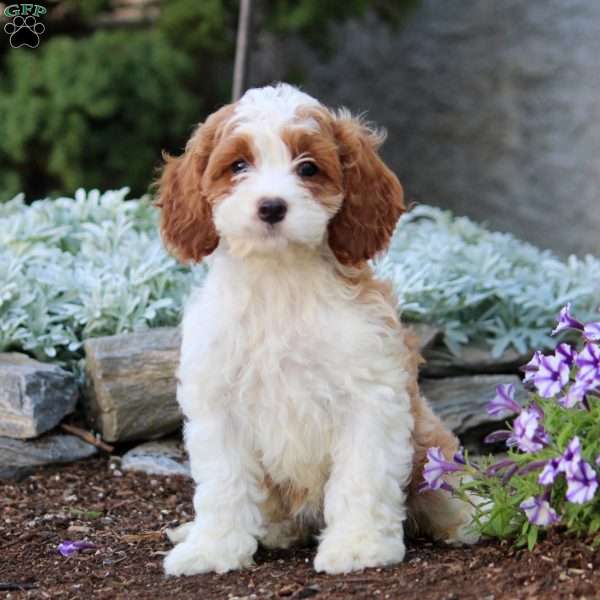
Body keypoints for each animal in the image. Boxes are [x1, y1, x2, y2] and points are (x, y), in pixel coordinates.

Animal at [157, 82, 476, 576]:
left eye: (308, 167)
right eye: (238, 165)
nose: (271, 206)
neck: (280, 279)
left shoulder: (371, 395)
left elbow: (361, 477)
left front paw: (359, 547)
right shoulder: (218, 403)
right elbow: (224, 484)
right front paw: (212, 549)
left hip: (429, 442)